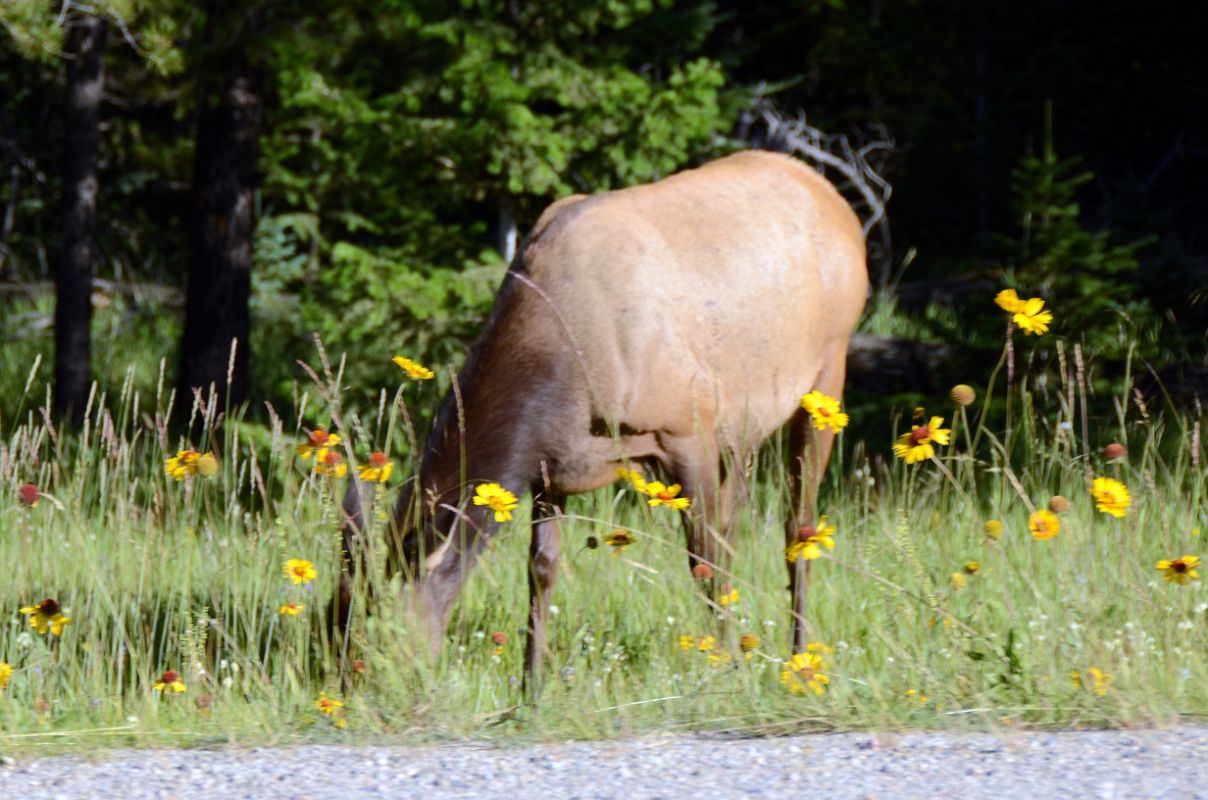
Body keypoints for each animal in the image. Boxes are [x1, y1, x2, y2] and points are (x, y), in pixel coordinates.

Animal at [338, 150, 869, 691]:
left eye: (373, 634)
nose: (352, 687)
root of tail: (839, 204)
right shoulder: (553, 466)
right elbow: (541, 568)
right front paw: (532, 686)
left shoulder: (688, 427)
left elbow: (702, 559)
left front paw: (723, 668)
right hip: (744, 423)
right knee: (737, 521)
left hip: (825, 375)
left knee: (797, 525)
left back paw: (799, 657)